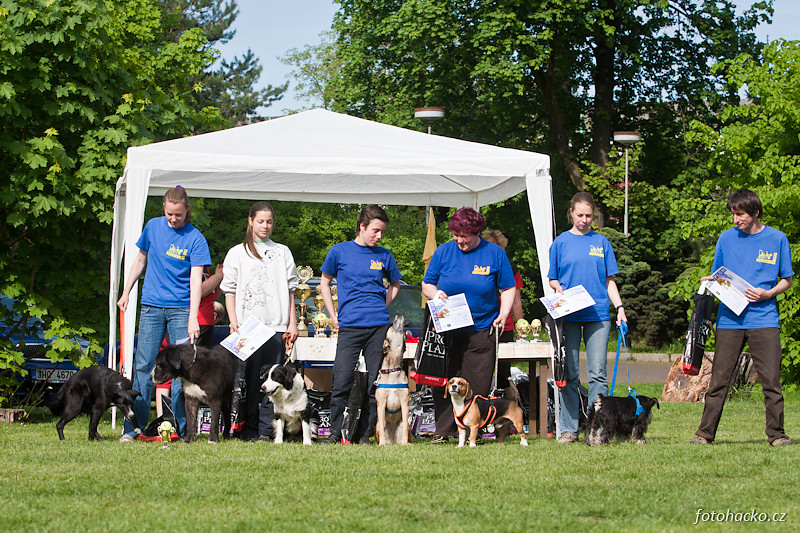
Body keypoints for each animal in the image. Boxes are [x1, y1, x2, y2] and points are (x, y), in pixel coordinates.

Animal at [376, 314, 412, 442]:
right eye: (391, 328)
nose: (398, 314)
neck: (393, 370)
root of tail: (393, 441)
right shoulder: (381, 403)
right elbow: (382, 427)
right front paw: (382, 444)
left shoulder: (405, 402)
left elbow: (405, 427)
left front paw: (405, 443)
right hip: (377, 425)